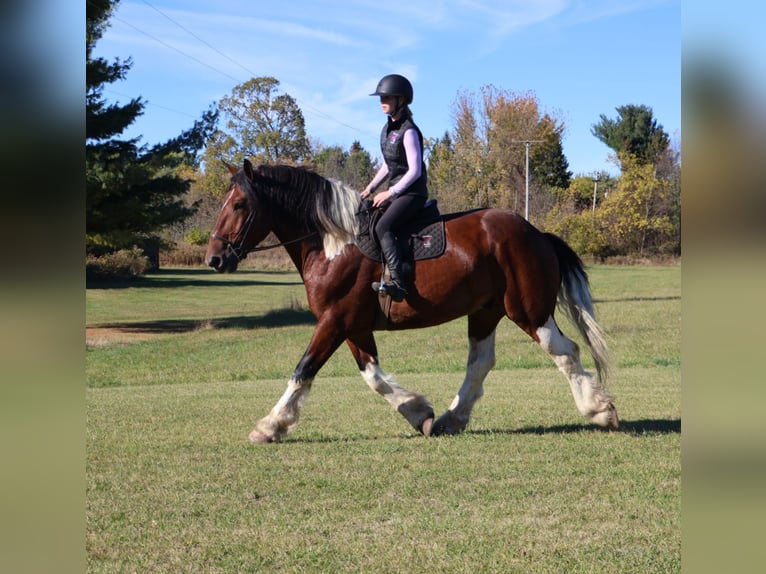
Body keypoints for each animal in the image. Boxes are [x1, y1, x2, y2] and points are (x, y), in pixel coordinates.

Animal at [205, 159, 618, 443]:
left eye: (239, 205)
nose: (214, 259)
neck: (334, 245)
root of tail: (537, 233)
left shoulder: (334, 321)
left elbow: (303, 370)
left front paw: (270, 426)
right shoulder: (352, 326)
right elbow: (372, 375)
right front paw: (418, 412)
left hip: (529, 311)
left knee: (565, 351)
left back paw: (599, 409)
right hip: (486, 313)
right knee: (480, 362)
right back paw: (452, 418)